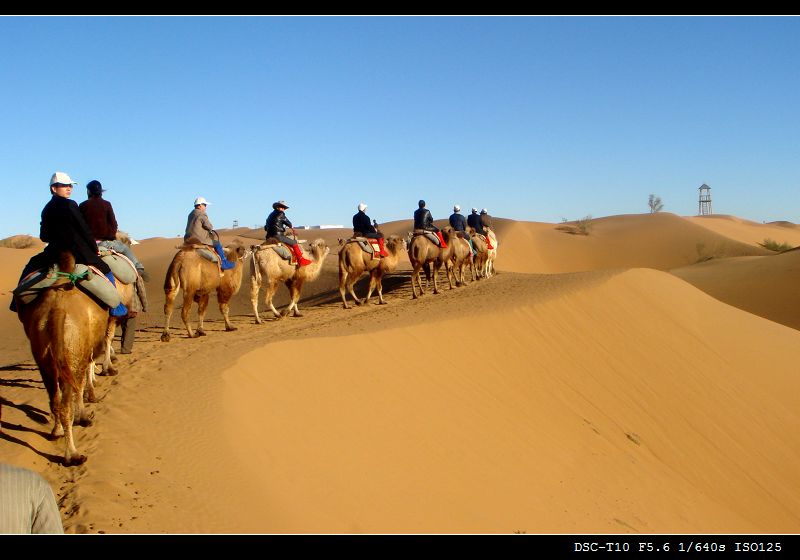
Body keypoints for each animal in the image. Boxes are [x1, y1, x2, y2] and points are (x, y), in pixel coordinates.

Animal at [15, 252, 111, 466]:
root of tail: (57, 312)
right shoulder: (83, 352)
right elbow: (82, 384)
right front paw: (84, 416)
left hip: (44, 357)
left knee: (55, 399)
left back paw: (56, 432)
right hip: (73, 352)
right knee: (67, 401)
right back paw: (73, 455)